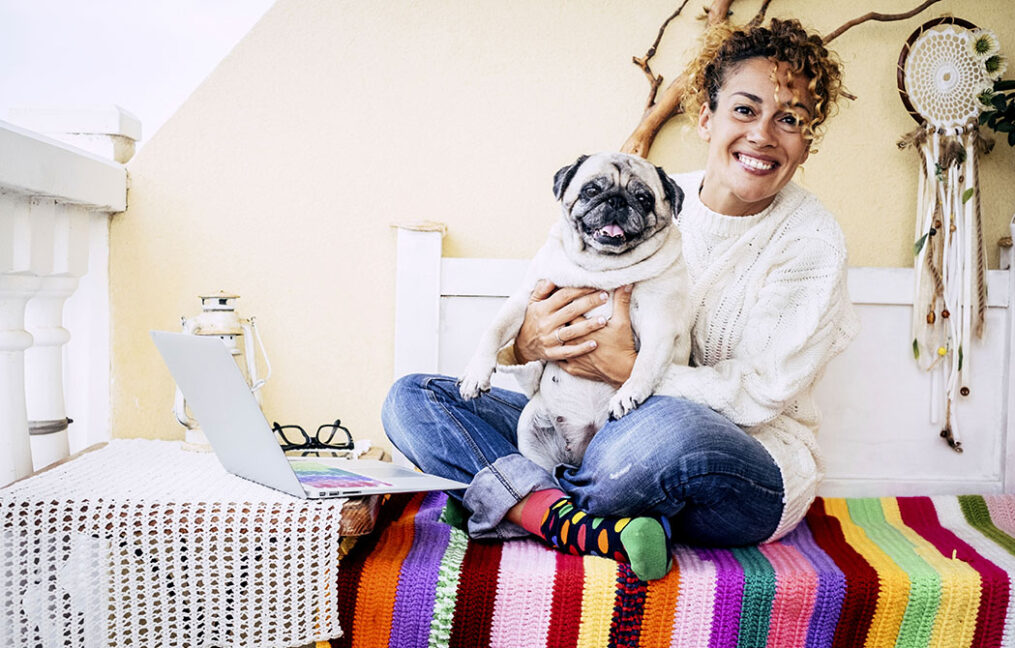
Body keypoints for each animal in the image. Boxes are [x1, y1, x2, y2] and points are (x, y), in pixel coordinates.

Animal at [458, 154, 690, 475]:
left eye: (644, 199)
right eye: (591, 190)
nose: (617, 200)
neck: (602, 268)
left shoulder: (659, 323)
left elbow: (644, 365)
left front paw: (629, 393)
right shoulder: (526, 298)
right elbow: (493, 332)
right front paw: (475, 374)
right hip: (531, 429)